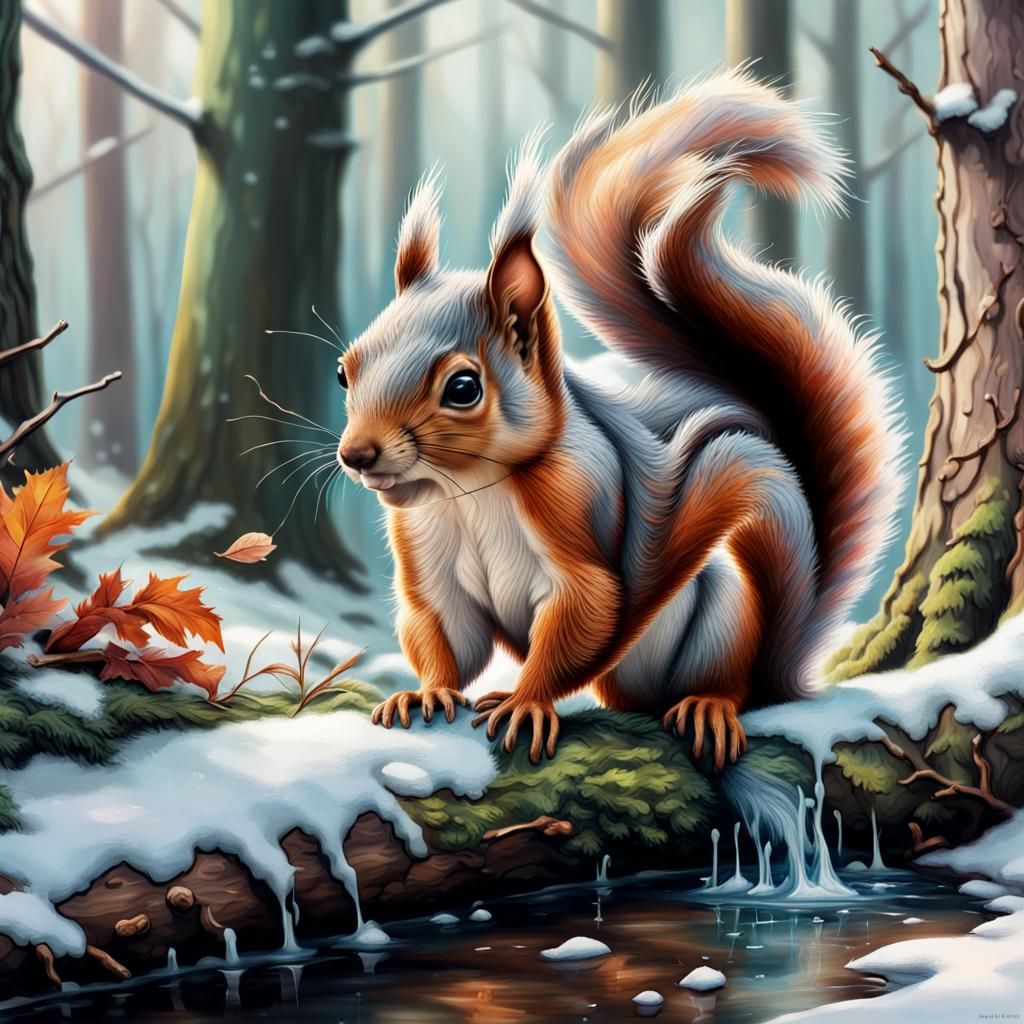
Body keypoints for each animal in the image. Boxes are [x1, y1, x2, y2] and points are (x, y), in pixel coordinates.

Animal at [338, 69, 902, 770]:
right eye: (345, 372)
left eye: (463, 388)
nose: (356, 455)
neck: (467, 489)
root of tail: (778, 673)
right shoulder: (425, 555)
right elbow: (442, 631)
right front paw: (426, 692)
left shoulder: (577, 511)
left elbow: (589, 611)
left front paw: (526, 701)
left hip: (730, 610)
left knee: (726, 681)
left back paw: (709, 704)